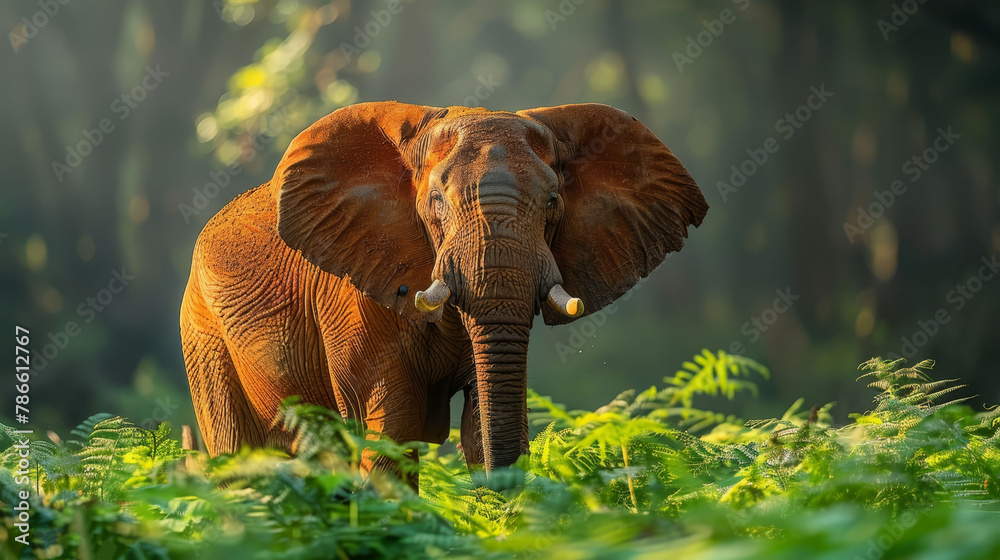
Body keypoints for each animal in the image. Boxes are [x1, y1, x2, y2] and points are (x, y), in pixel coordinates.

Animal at [180, 101, 708, 479]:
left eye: (553, 202)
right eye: (436, 203)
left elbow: (482, 425)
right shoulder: (351, 298)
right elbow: (391, 432)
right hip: (203, 337)